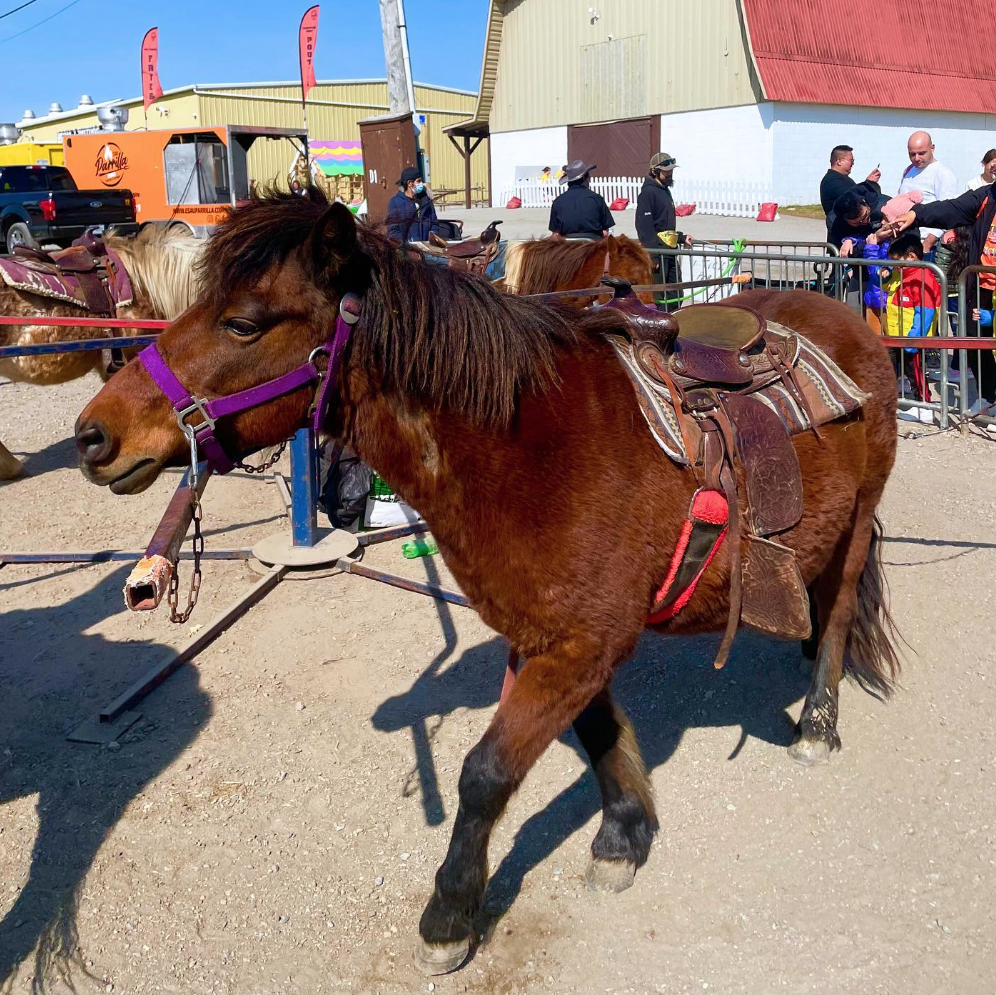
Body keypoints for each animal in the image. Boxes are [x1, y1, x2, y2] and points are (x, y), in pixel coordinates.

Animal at [76, 191, 904, 976]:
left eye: (243, 324)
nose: (93, 433)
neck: (527, 447)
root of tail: (842, 312)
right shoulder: (561, 642)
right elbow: (599, 736)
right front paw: (622, 834)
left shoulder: (581, 645)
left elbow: (484, 774)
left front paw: (449, 914)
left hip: (858, 522)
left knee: (836, 614)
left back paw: (818, 722)